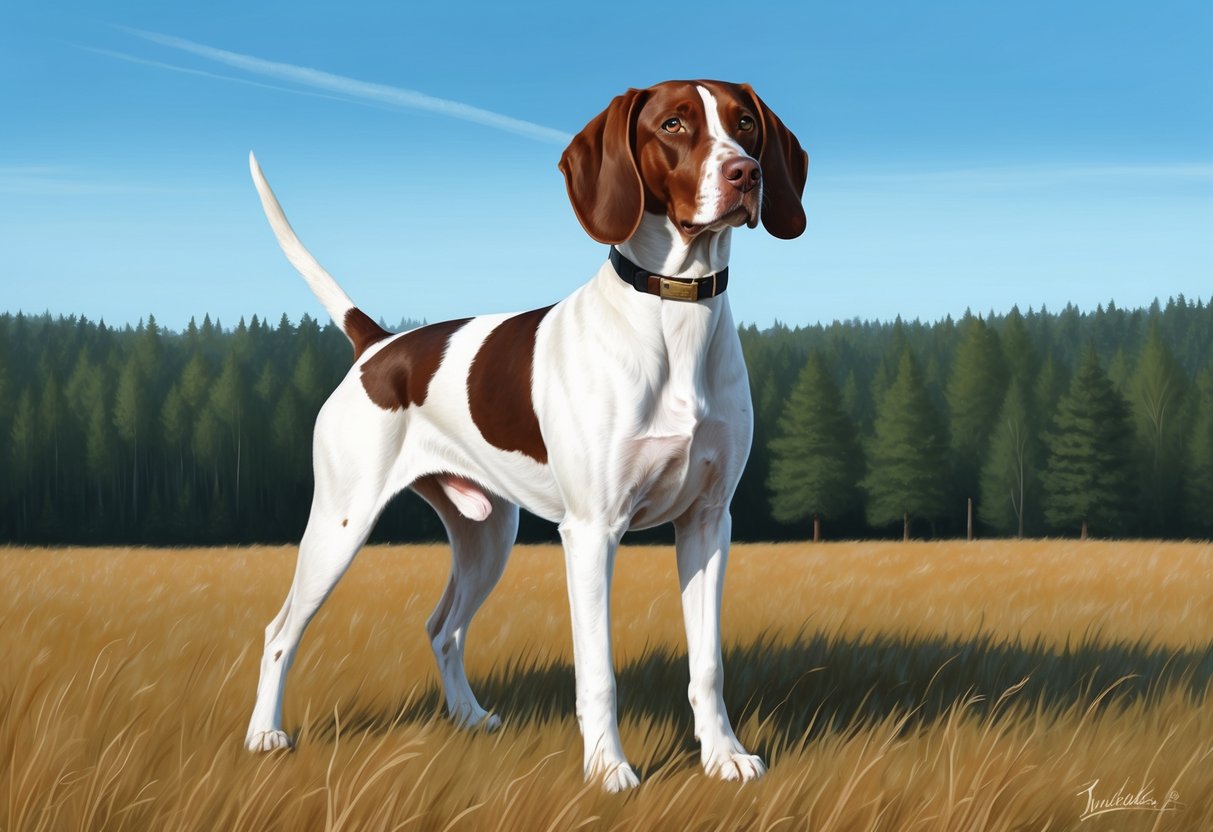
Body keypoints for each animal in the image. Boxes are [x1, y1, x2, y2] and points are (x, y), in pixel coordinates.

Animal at [241, 80, 805, 795]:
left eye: (745, 124)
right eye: (673, 124)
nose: (746, 174)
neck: (676, 315)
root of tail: (378, 346)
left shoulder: (707, 524)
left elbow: (707, 663)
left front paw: (724, 756)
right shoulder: (592, 534)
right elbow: (598, 672)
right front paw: (609, 769)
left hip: (486, 537)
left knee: (442, 628)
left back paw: (469, 717)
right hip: (341, 524)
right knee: (279, 630)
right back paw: (264, 735)